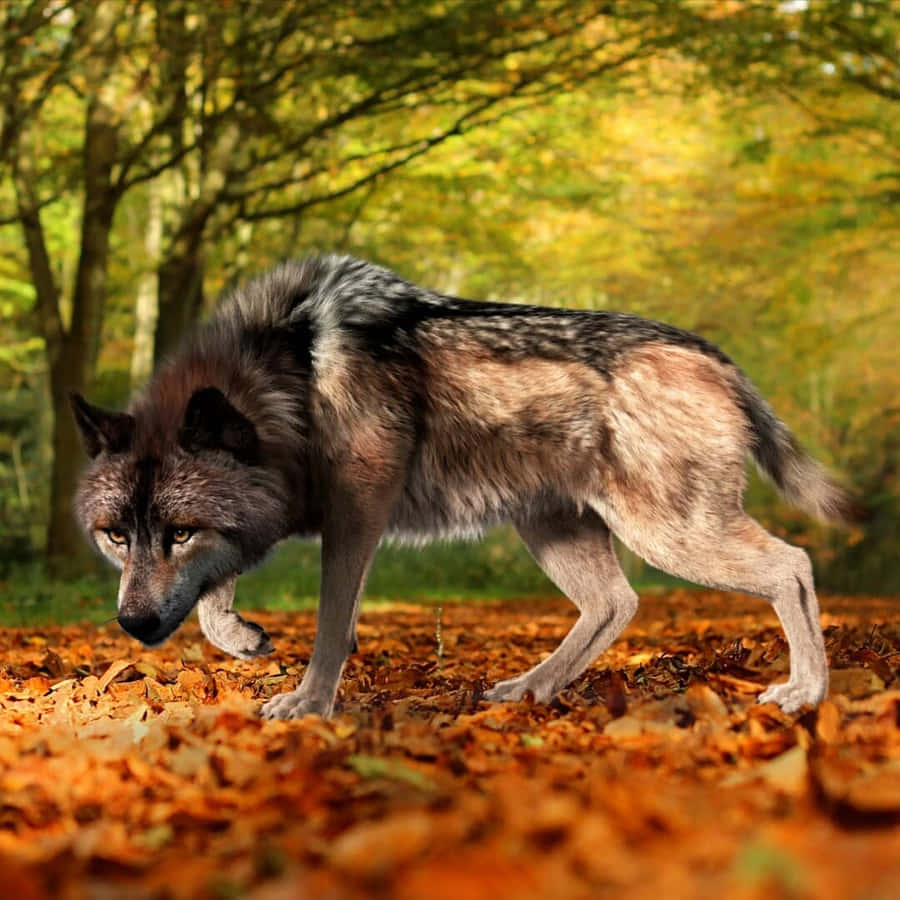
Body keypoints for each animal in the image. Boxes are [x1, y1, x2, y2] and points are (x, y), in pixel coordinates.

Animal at [72, 254, 853, 719]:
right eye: (116, 536)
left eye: (180, 532)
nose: (132, 624)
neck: (286, 382)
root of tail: (717, 357)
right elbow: (213, 597)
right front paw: (242, 638)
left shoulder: (356, 516)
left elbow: (330, 625)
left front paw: (309, 705)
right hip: (558, 533)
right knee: (617, 604)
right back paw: (530, 689)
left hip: (670, 536)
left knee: (793, 566)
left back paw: (807, 691)